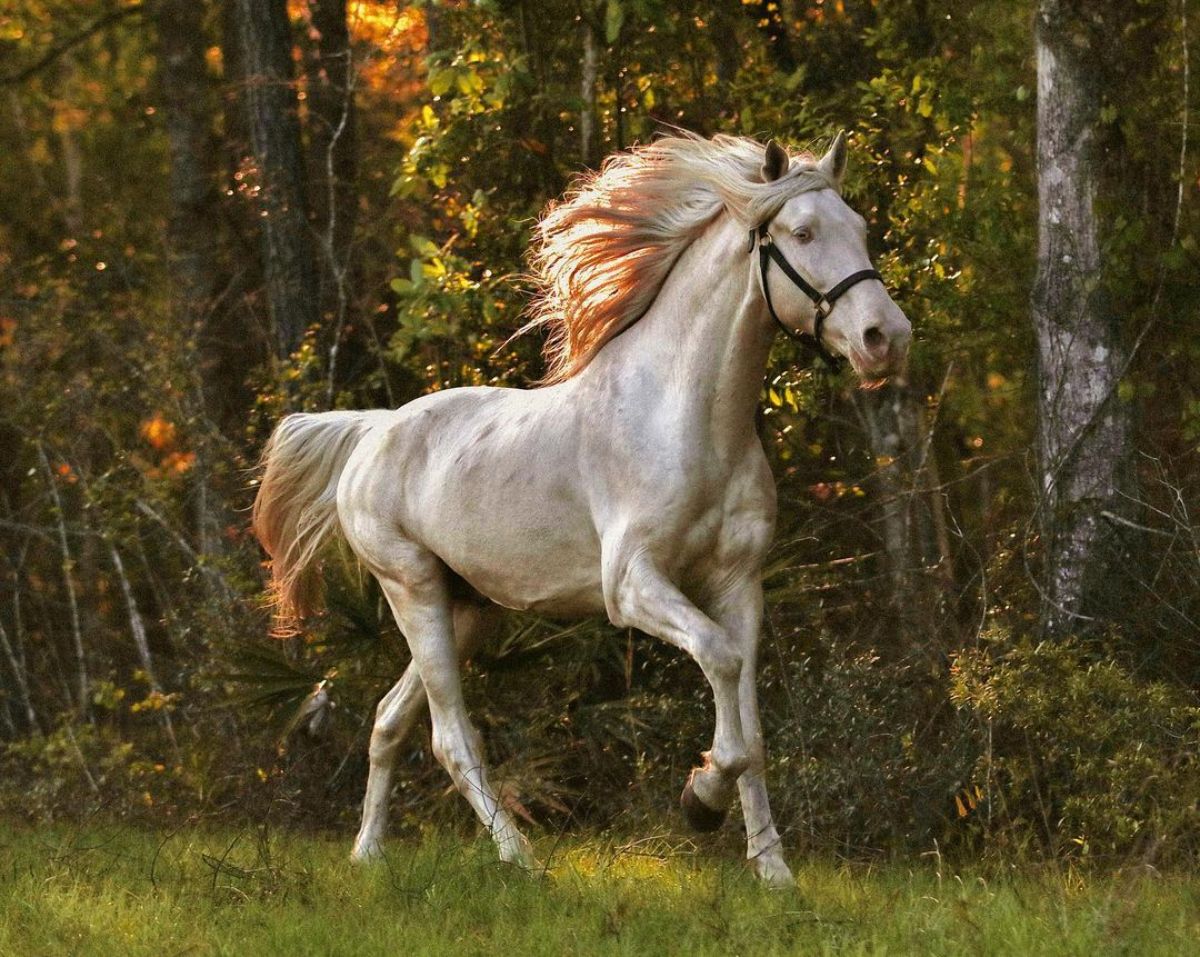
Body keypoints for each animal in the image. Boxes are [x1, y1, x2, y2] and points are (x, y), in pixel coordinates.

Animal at [253, 131, 907, 887]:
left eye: (860, 227)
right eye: (802, 233)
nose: (887, 337)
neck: (688, 421)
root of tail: (372, 432)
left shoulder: (739, 583)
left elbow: (752, 724)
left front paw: (773, 870)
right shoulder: (632, 585)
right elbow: (720, 668)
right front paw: (700, 799)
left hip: (467, 608)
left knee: (390, 719)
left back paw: (369, 853)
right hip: (411, 589)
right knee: (450, 736)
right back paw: (519, 857)